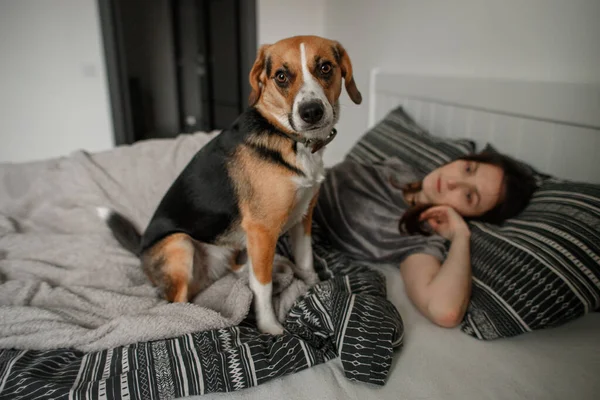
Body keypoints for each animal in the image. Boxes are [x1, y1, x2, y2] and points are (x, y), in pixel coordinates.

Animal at [100, 35, 360, 334]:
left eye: (325, 68)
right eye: (281, 76)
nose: (312, 112)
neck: (290, 140)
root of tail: (141, 247)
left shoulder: (304, 216)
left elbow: (305, 259)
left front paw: (311, 284)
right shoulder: (262, 229)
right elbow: (263, 286)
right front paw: (269, 326)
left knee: (239, 267)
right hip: (180, 244)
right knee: (178, 302)